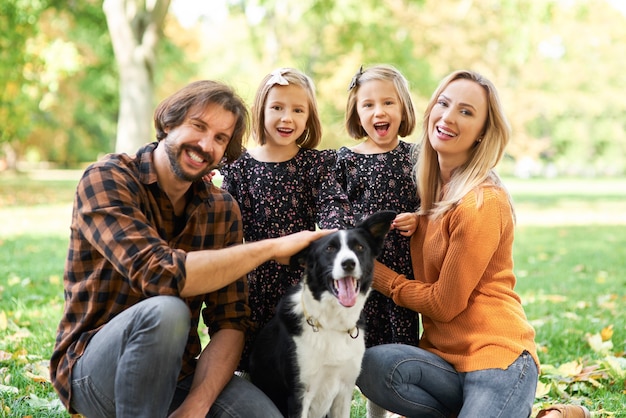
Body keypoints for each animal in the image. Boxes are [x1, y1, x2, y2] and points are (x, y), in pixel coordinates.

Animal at [250, 212, 392, 418]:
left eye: (359, 247)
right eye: (329, 249)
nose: (348, 263)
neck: (331, 323)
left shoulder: (345, 390)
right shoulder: (299, 395)